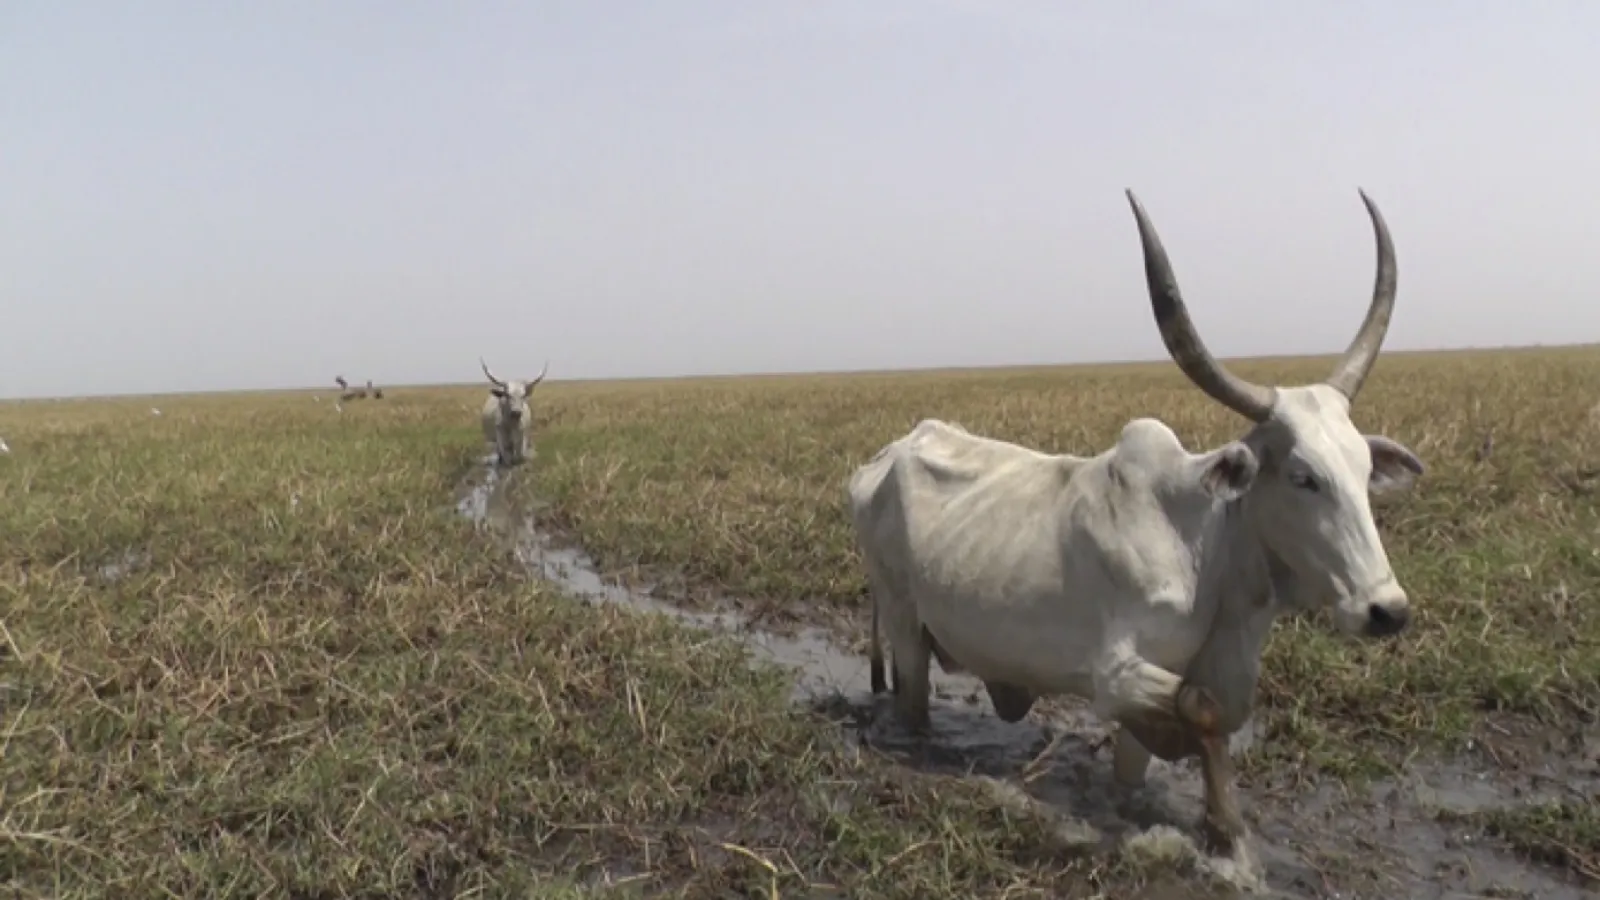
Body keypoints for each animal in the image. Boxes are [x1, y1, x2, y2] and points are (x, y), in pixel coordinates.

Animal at [847, 189, 1423, 855]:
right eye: (1303, 477)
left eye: (1363, 470)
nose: (1387, 610)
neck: (1209, 550)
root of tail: (885, 457)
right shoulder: (1116, 677)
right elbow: (1203, 710)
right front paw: (1225, 827)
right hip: (904, 620)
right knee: (912, 696)